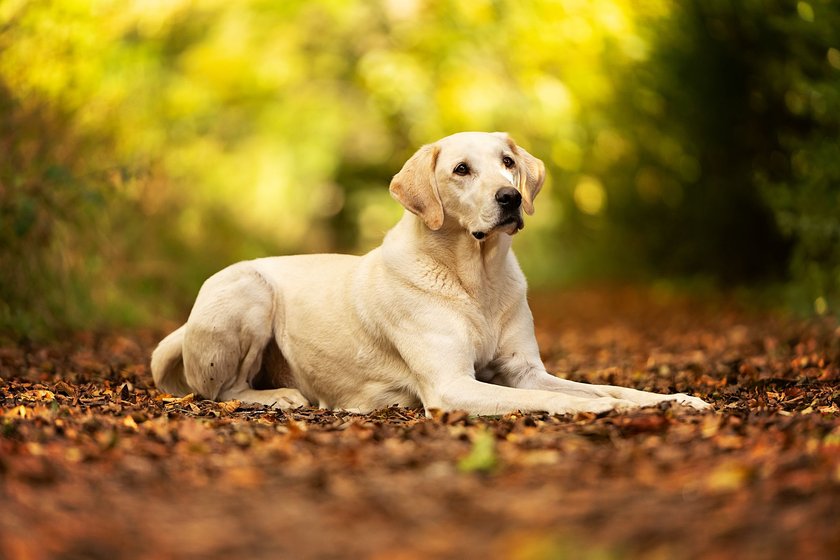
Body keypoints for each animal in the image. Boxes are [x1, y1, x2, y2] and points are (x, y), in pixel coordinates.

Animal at [151, 131, 708, 416]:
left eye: (508, 162)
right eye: (461, 169)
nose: (510, 197)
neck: (477, 280)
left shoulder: (525, 367)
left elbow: (607, 388)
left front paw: (674, 398)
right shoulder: (451, 385)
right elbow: (552, 399)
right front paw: (603, 410)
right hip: (248, 291)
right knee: (219, 391)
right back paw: (279, 396)